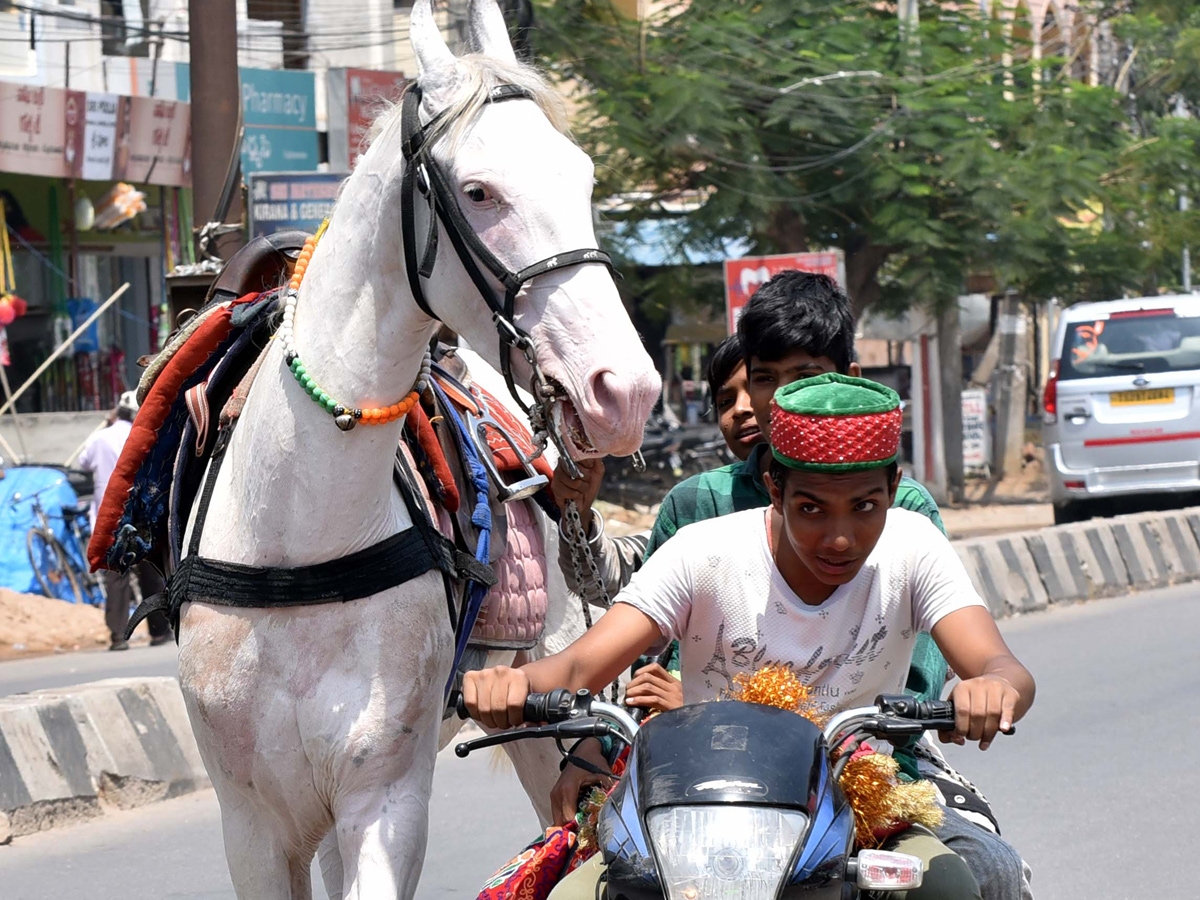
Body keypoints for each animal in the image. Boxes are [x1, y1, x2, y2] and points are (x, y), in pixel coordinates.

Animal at [177, 3, 662, 897]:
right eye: (479, 191)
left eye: (583, 181)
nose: (626, 391)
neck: (300, 547)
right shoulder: (252, 827)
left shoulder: (386, 803)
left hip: (551, 718)